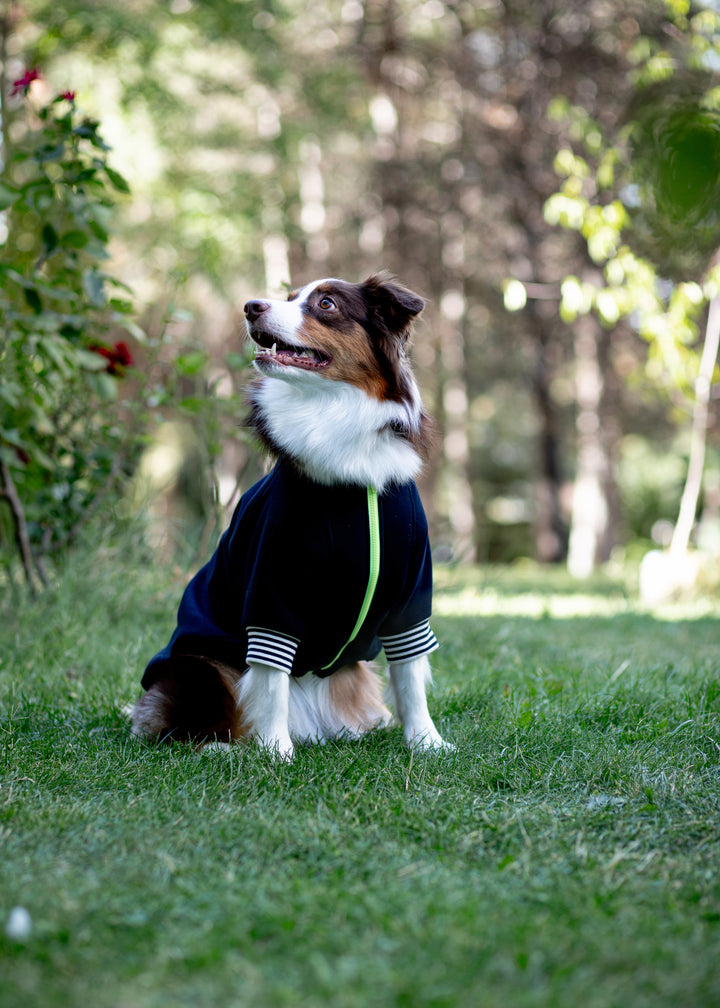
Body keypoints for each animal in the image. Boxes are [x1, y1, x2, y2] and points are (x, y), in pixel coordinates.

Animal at [132, 272, 447, 758]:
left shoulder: (411, 594)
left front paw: (427, 742)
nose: (250, 306)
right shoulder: (273, 588)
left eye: (326, 303)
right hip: (195, 667)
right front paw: (276, 751)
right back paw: (229, 748)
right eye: (288, 296)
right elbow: (271, 678)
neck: (335, 414)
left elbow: (411, 676)